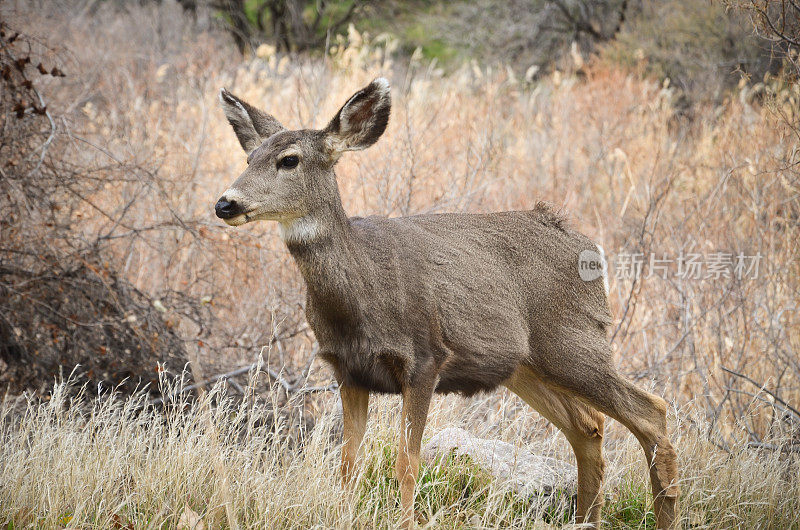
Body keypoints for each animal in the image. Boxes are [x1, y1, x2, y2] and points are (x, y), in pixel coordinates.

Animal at [216, 79, 680, 528]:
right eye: (249, 156)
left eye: (289, 160)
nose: (225, 203)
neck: (361, 295)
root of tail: (587, 246)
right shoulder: (348, 370)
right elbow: (348, 464)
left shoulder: (425, 359)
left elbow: (407, 463)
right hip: (525, 365)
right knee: (588, 426)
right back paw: (586, 521)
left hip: (574, 339)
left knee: (651, 412)